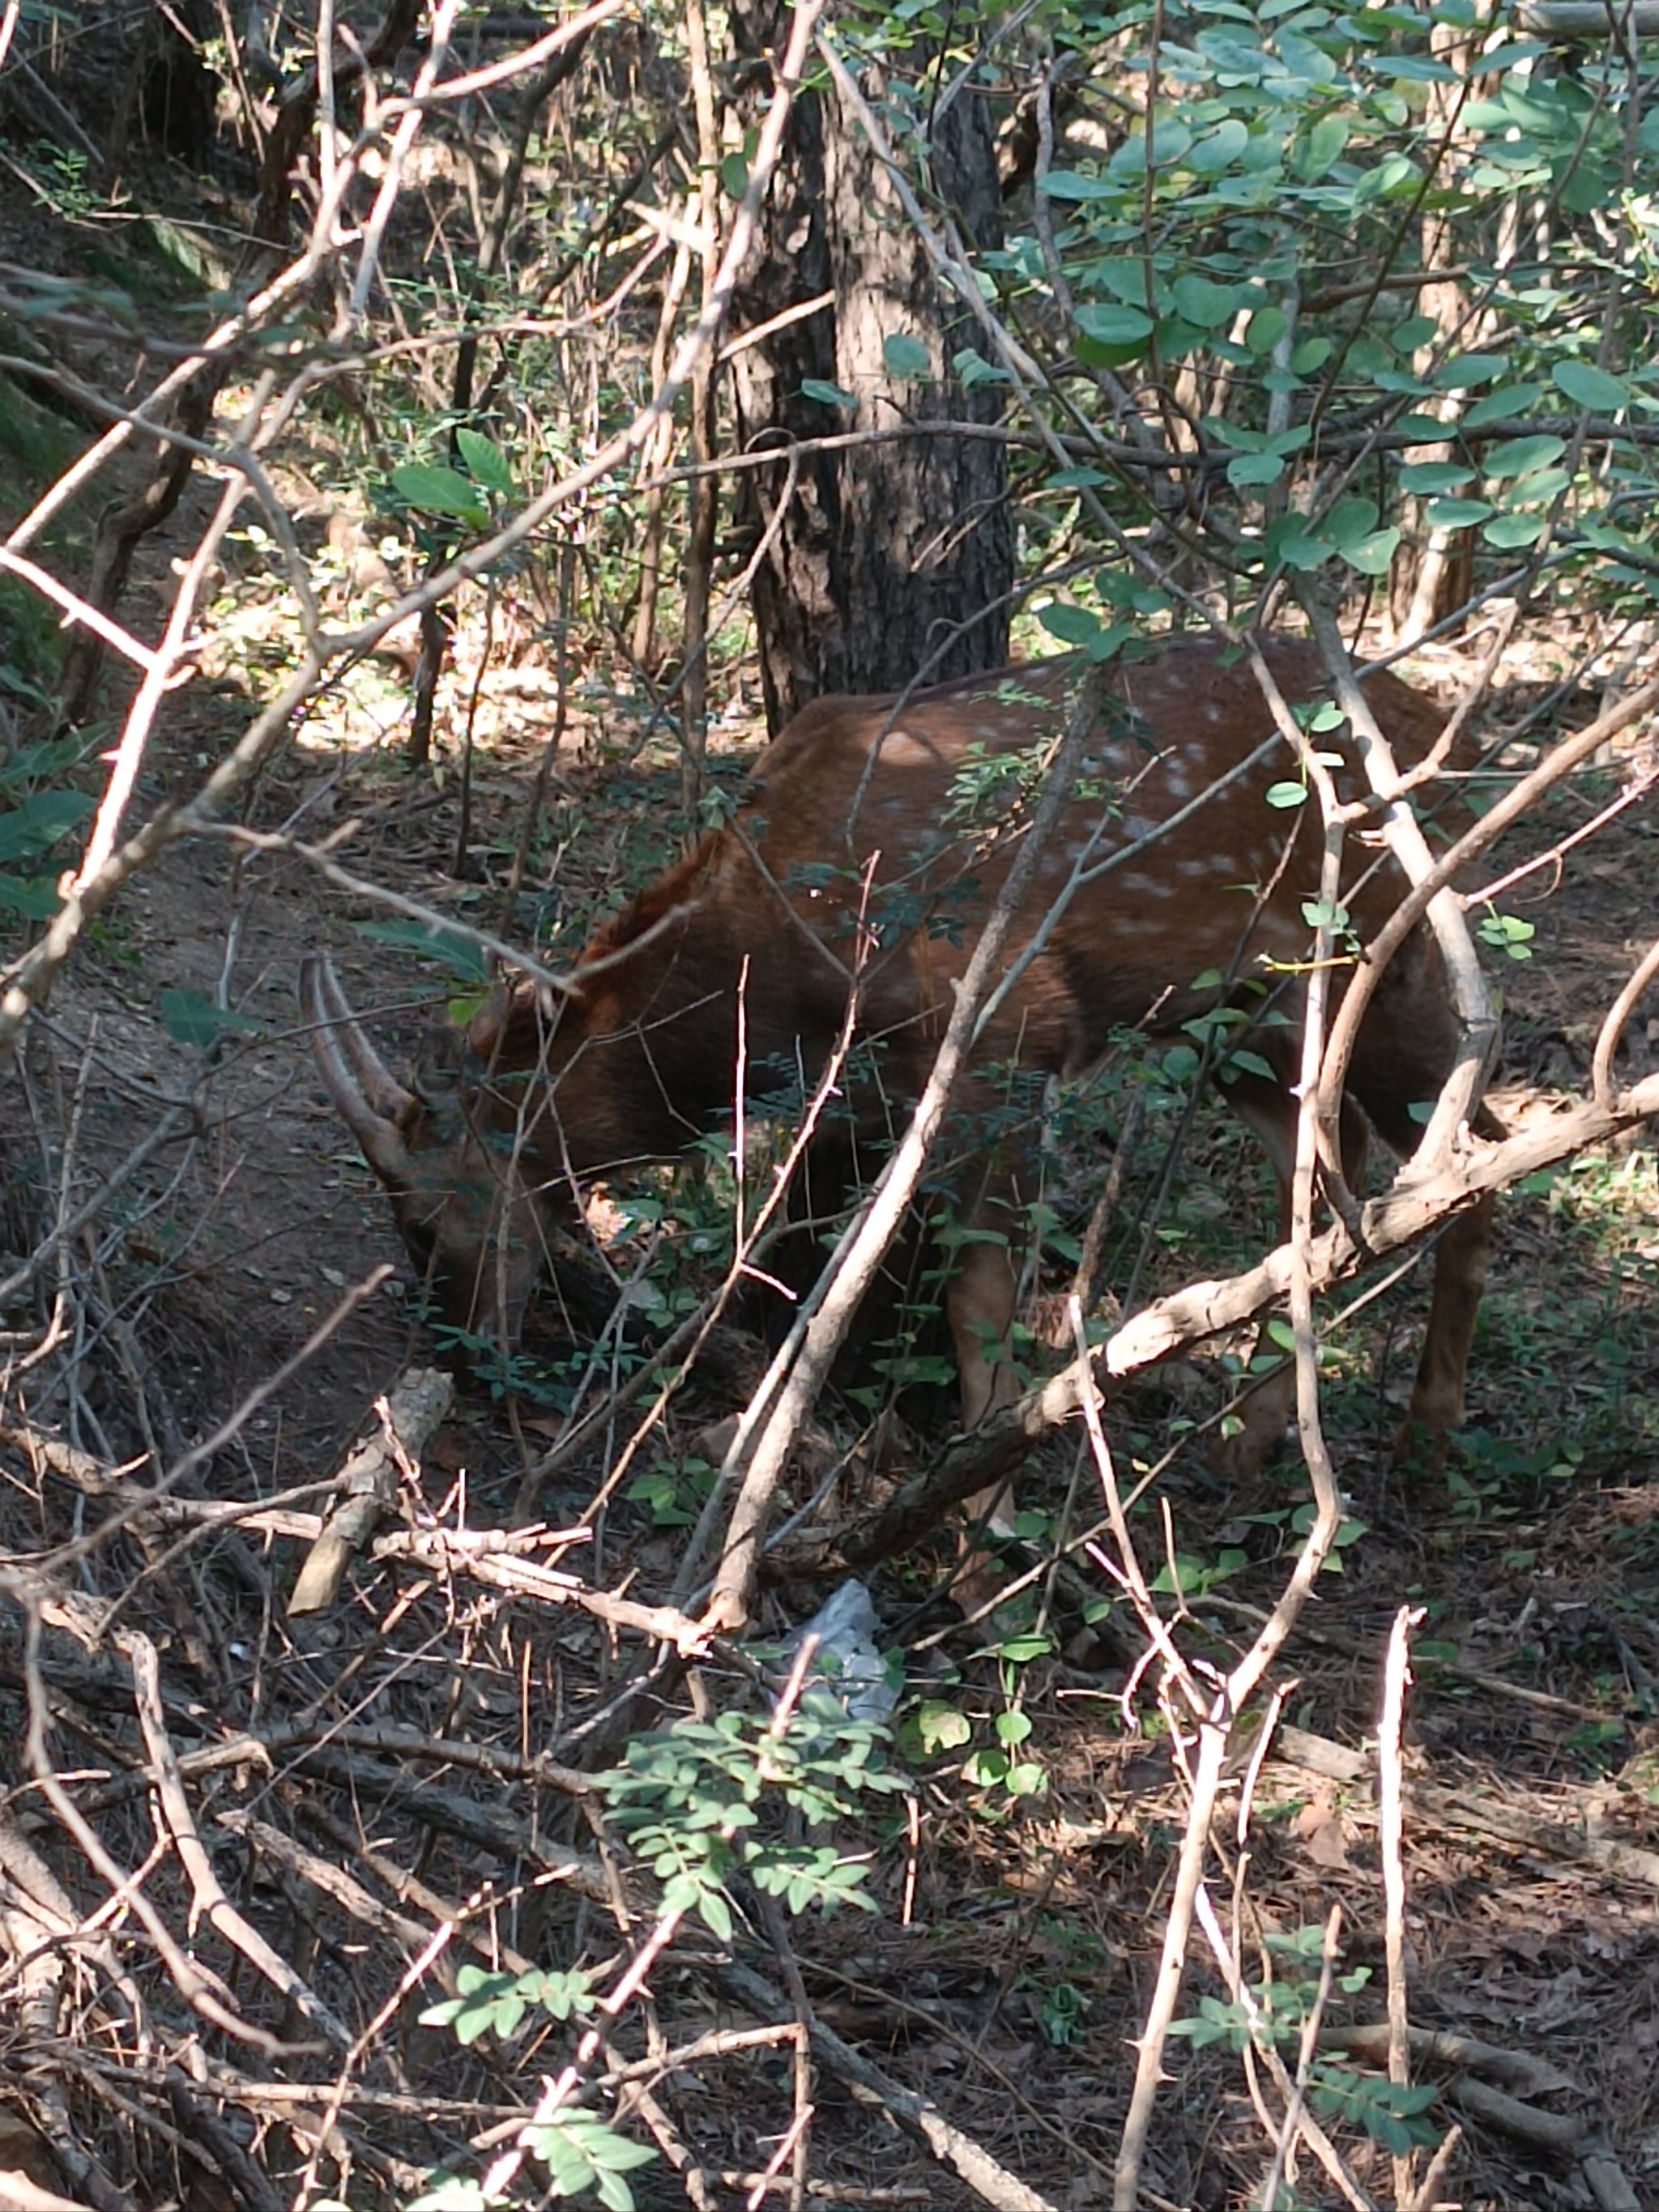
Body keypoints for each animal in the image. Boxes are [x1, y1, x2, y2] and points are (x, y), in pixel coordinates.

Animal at [303, 641, 1503, 1504]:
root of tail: (1447, 734)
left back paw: (1427, 1435)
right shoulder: (874, 1080)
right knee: (1340, 1163)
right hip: (1240, 1018)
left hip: (1377, 959)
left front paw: (978, 1535)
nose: (456, 1359)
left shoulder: (1007, 1032)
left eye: (427, 1215)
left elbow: (973, 1300)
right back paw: (1262, 1440)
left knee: (1470, 1141)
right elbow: (810, 1246)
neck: (773, 965)